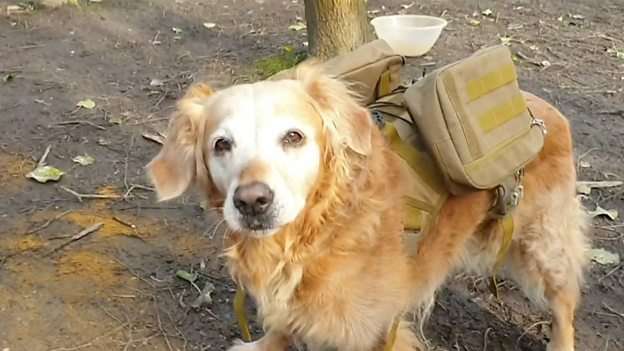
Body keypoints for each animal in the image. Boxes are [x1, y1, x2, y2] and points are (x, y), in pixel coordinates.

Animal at [146, 64, 588, 351]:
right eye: (221, 144)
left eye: (293, 137)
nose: (252, 201)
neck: (316, 232)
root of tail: (542, 110)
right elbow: (282, 326)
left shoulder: (373, 330)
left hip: (545, 243)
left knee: (565, 304)